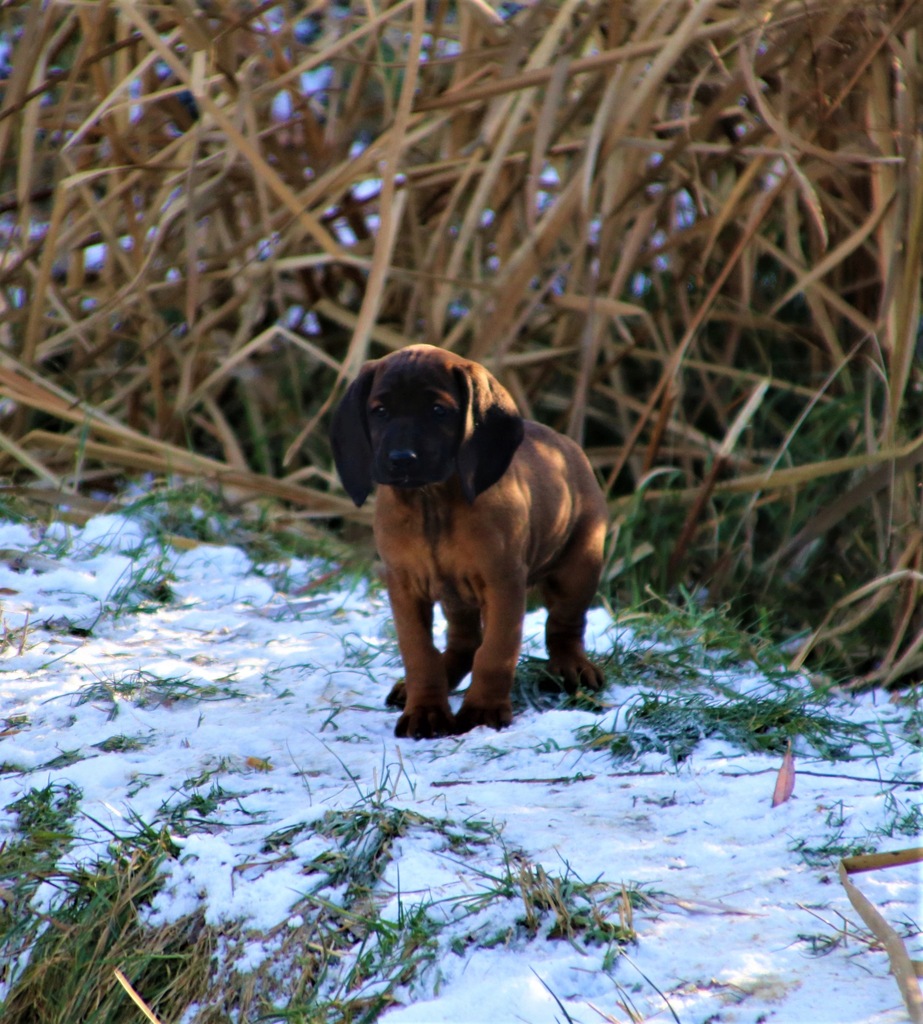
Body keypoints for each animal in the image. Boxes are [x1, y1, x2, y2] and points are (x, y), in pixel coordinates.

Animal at [329, 344, 606, 737]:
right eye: (380, 411)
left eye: (438, 410)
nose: (401, 459)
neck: (432, 503)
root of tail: (567, 445)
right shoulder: (404, 587)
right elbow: (420, 654)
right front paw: (426, 711)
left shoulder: (503, 584)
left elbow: (495, 653)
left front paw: (483, 710)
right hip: (455, 595)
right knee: (463, 642)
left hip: (578, 568)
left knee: (564, 624)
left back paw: (571, 666)